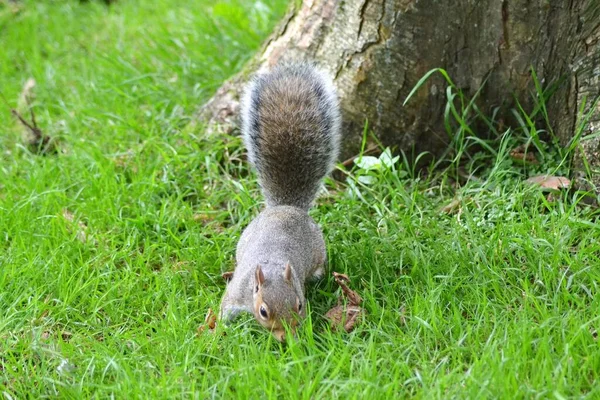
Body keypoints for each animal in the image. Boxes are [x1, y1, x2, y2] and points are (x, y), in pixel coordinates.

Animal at [219, 62, 342, 340]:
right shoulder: (237, 292)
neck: (272, 266)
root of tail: (286, 207)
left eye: (300, 305)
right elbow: (225, 308)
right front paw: (215, 329)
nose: (287, 337)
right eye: (263, 311)